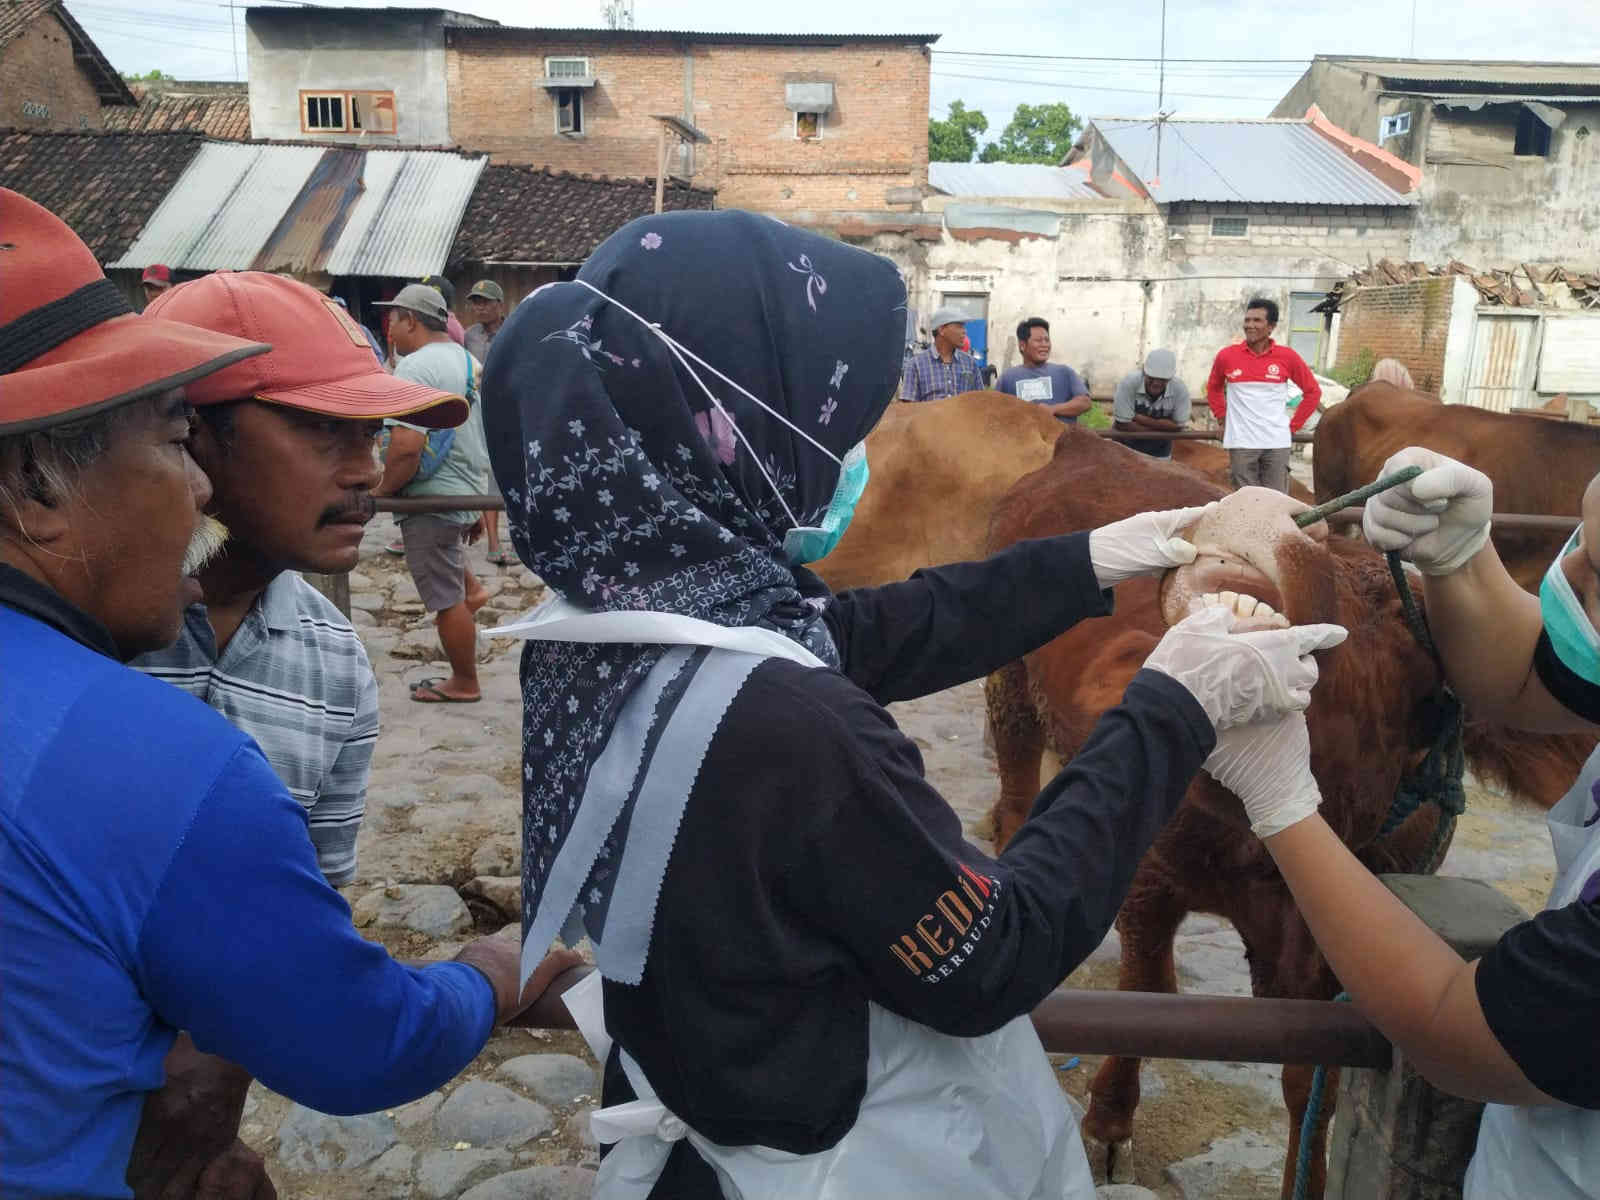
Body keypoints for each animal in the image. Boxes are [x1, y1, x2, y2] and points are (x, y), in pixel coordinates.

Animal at [979, 428, 1593, 1196]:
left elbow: (1314, 1080)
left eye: (1412, 638)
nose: (1282, 517)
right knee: (1014, 791)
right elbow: (1147, 988)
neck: (1255, 855)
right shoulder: (1149, 875)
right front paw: (1110, 1122)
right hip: (1009, 688)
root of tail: (1086, 441)